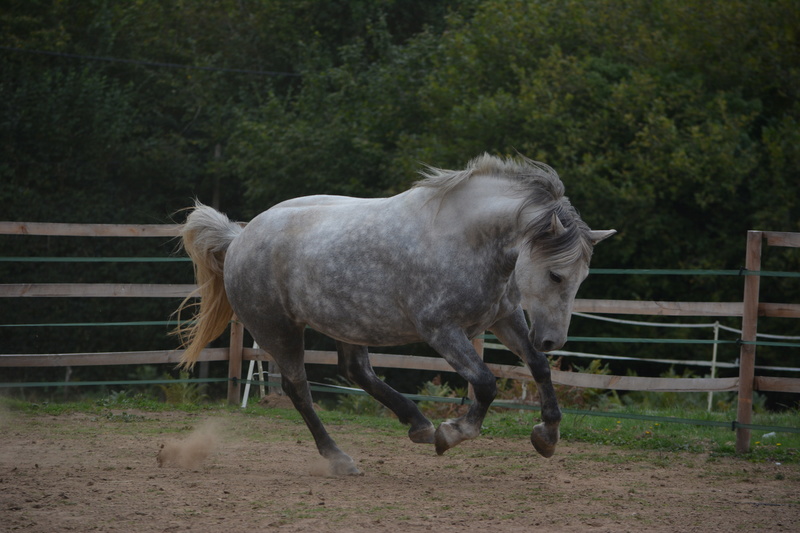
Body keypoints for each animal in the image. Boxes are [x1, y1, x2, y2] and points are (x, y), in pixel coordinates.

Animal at [175, 153, 612, 474]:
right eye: (555, 274)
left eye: (582, 277)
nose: (553, 339)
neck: (466, 239)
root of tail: (239, 237)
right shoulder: (441, 330)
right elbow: (486, 383)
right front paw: (453, 433)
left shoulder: (505, 318)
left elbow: (538, 367)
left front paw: (547, 435)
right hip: (278, 331)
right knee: (299, 390)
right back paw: (340, 458)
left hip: (349, 322)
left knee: (356, 371)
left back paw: (416, 423)